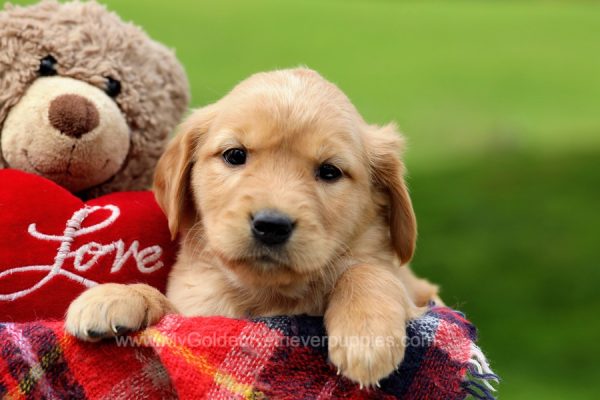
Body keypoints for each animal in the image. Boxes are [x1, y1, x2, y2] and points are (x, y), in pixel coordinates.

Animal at [67, 67, 440, 386]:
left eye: (330, 171)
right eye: (235, 155)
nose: (271, 225)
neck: (268, 296)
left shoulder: (412, 286)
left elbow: (368, 270)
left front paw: (365, 332)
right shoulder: (198, 309)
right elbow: (169, 306)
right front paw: (117, 296)